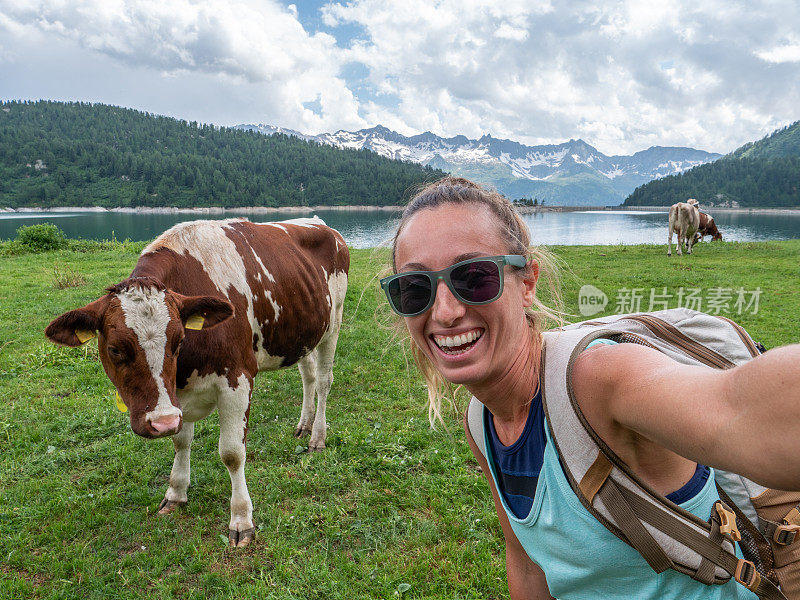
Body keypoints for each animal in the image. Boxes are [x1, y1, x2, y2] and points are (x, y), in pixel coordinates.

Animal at [45, 218, 348, 548]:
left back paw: (317, 436)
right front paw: (176, 492)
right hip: (303, 333)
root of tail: (319, 223)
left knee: (324, 381)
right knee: (308, 375)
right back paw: (303, 424)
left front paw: (241, 519)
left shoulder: (238, 380)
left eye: (179, 340)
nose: (161, 421)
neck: (187, 370)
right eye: (114, 349)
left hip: (333, 324)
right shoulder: (176, 395)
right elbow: (181, 441)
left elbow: (232, 453)